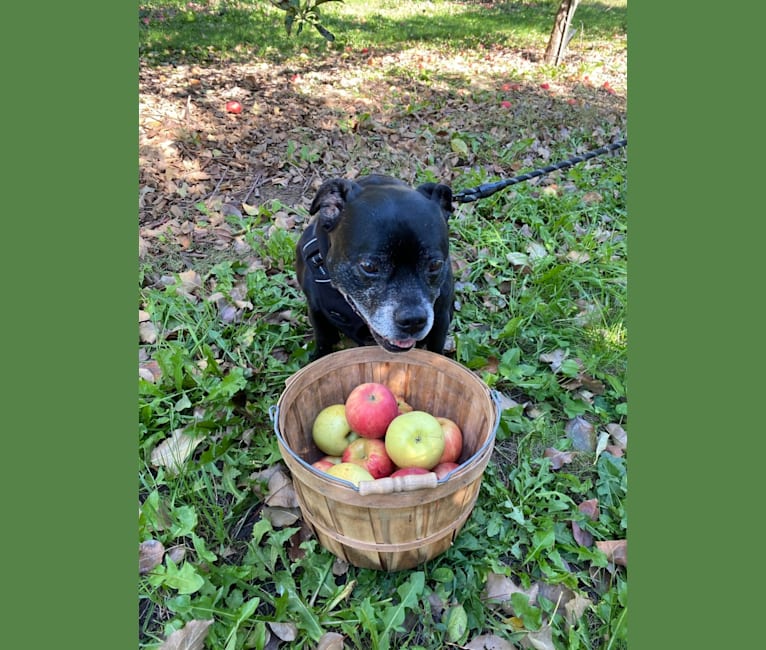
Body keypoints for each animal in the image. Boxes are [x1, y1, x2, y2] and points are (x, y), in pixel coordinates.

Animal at [296, 175, 456, 360]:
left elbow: (436, 350)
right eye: (369, 266)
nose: (413, 320)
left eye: (435, 265)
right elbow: (323, 341)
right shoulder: (316, 311)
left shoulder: (441, 319)